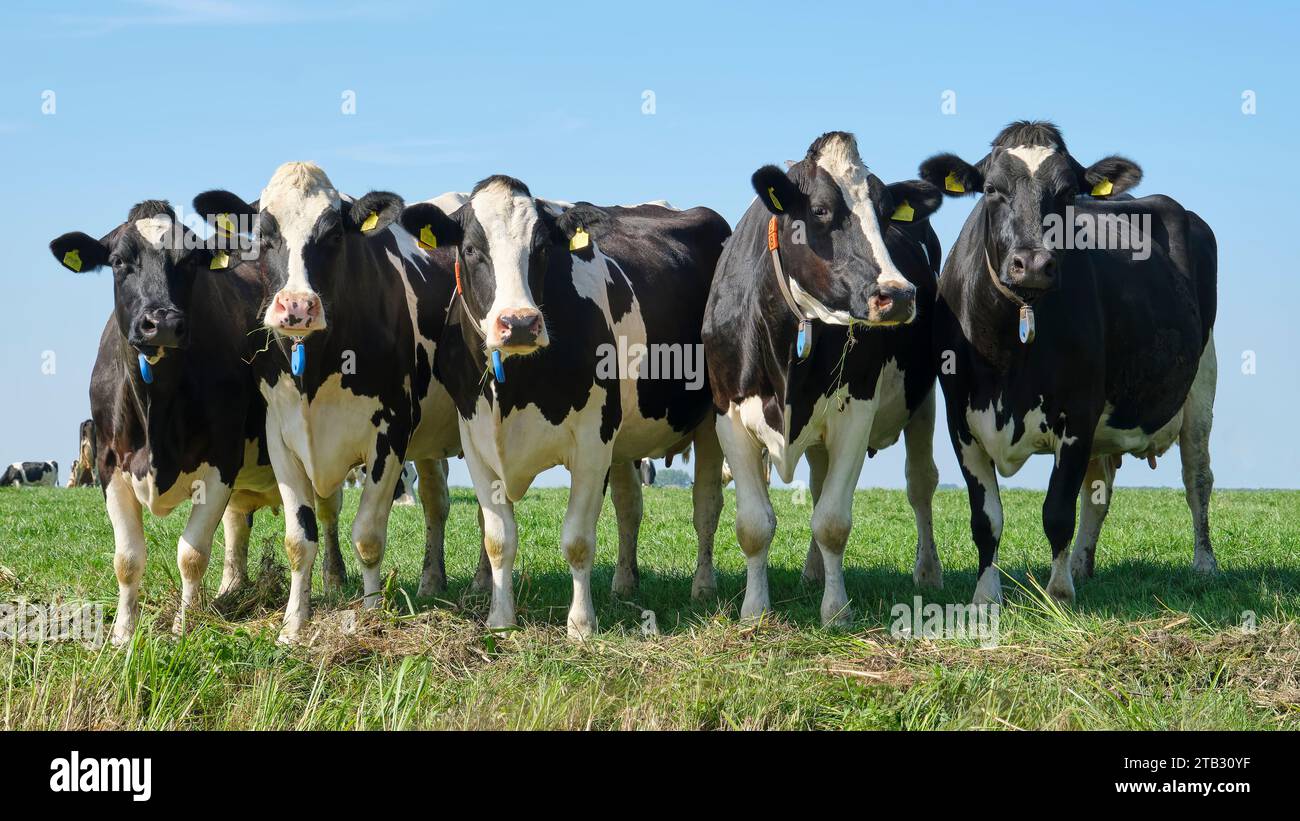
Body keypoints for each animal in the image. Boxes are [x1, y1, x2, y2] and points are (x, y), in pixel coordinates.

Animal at [49, 201, 281, 644]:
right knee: (237, 524)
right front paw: (123, 635)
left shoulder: (223, 460)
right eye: (119, 262)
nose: (163, 323)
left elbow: (192, 554)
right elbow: (127, 558)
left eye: (189, 261)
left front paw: (182, 629)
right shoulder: (108, 463)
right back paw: (230, 590)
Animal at [193, 163, 475, 642]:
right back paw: (430, 582)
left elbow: (368, 536)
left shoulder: (391, 434)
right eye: (264, 233)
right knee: (435, 501)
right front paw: (293, 624)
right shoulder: (282, 436)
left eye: (334, 235)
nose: (297, 306)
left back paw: (478, 584)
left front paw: (371, 614)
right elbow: (298, 539)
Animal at [398, 176, 731, 637]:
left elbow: (577, 540)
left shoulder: (592, 442)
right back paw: (624, 585)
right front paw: (500, 620)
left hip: (711, 419)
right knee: (630, 508)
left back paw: (703, 587)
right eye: (471, 249)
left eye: (541, 248)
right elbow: (498, 538)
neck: (515, 389)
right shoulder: (477, 440)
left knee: (706, 507)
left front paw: (581, 625)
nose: (519, 323)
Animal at [703, 131, 945, 626]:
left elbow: (832, 521)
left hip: (923, 398)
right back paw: (813, 572)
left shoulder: (857, 412)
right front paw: (754, 611)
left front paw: (836, 611)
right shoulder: (729, 415)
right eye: (819, 210)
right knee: (817, 484)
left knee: (920, 484)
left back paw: (928, 573)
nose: (898, 295)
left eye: (886, 212)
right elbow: (754, 524)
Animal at [918, 121, 1218, 605]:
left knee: (1198, 477)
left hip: (1202, 383)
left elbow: (1057, 511)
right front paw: (986, 597)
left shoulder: (1078, 413)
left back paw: (1205, 563)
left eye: (1067, 192)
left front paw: (1058, 595)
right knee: (1100, 491)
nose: (1033, 263)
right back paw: (1082, 563)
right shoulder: (960, 419)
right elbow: (986, 519)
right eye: (991, 189)